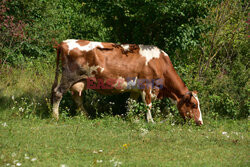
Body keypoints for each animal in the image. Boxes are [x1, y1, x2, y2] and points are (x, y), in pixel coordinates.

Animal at [51, 39, 203, 125]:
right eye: (194, 105)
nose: (200, 122)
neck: (160, 62)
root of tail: (64, 42)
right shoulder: (147, 85)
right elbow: (148, 105)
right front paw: (151, 121)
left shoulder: (135, 89)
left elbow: (130, 104)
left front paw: (130, 118)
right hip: (68, 77)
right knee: (58, 93)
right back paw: (55, 117)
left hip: (79, 81)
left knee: (77, 98)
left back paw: (86, 116)